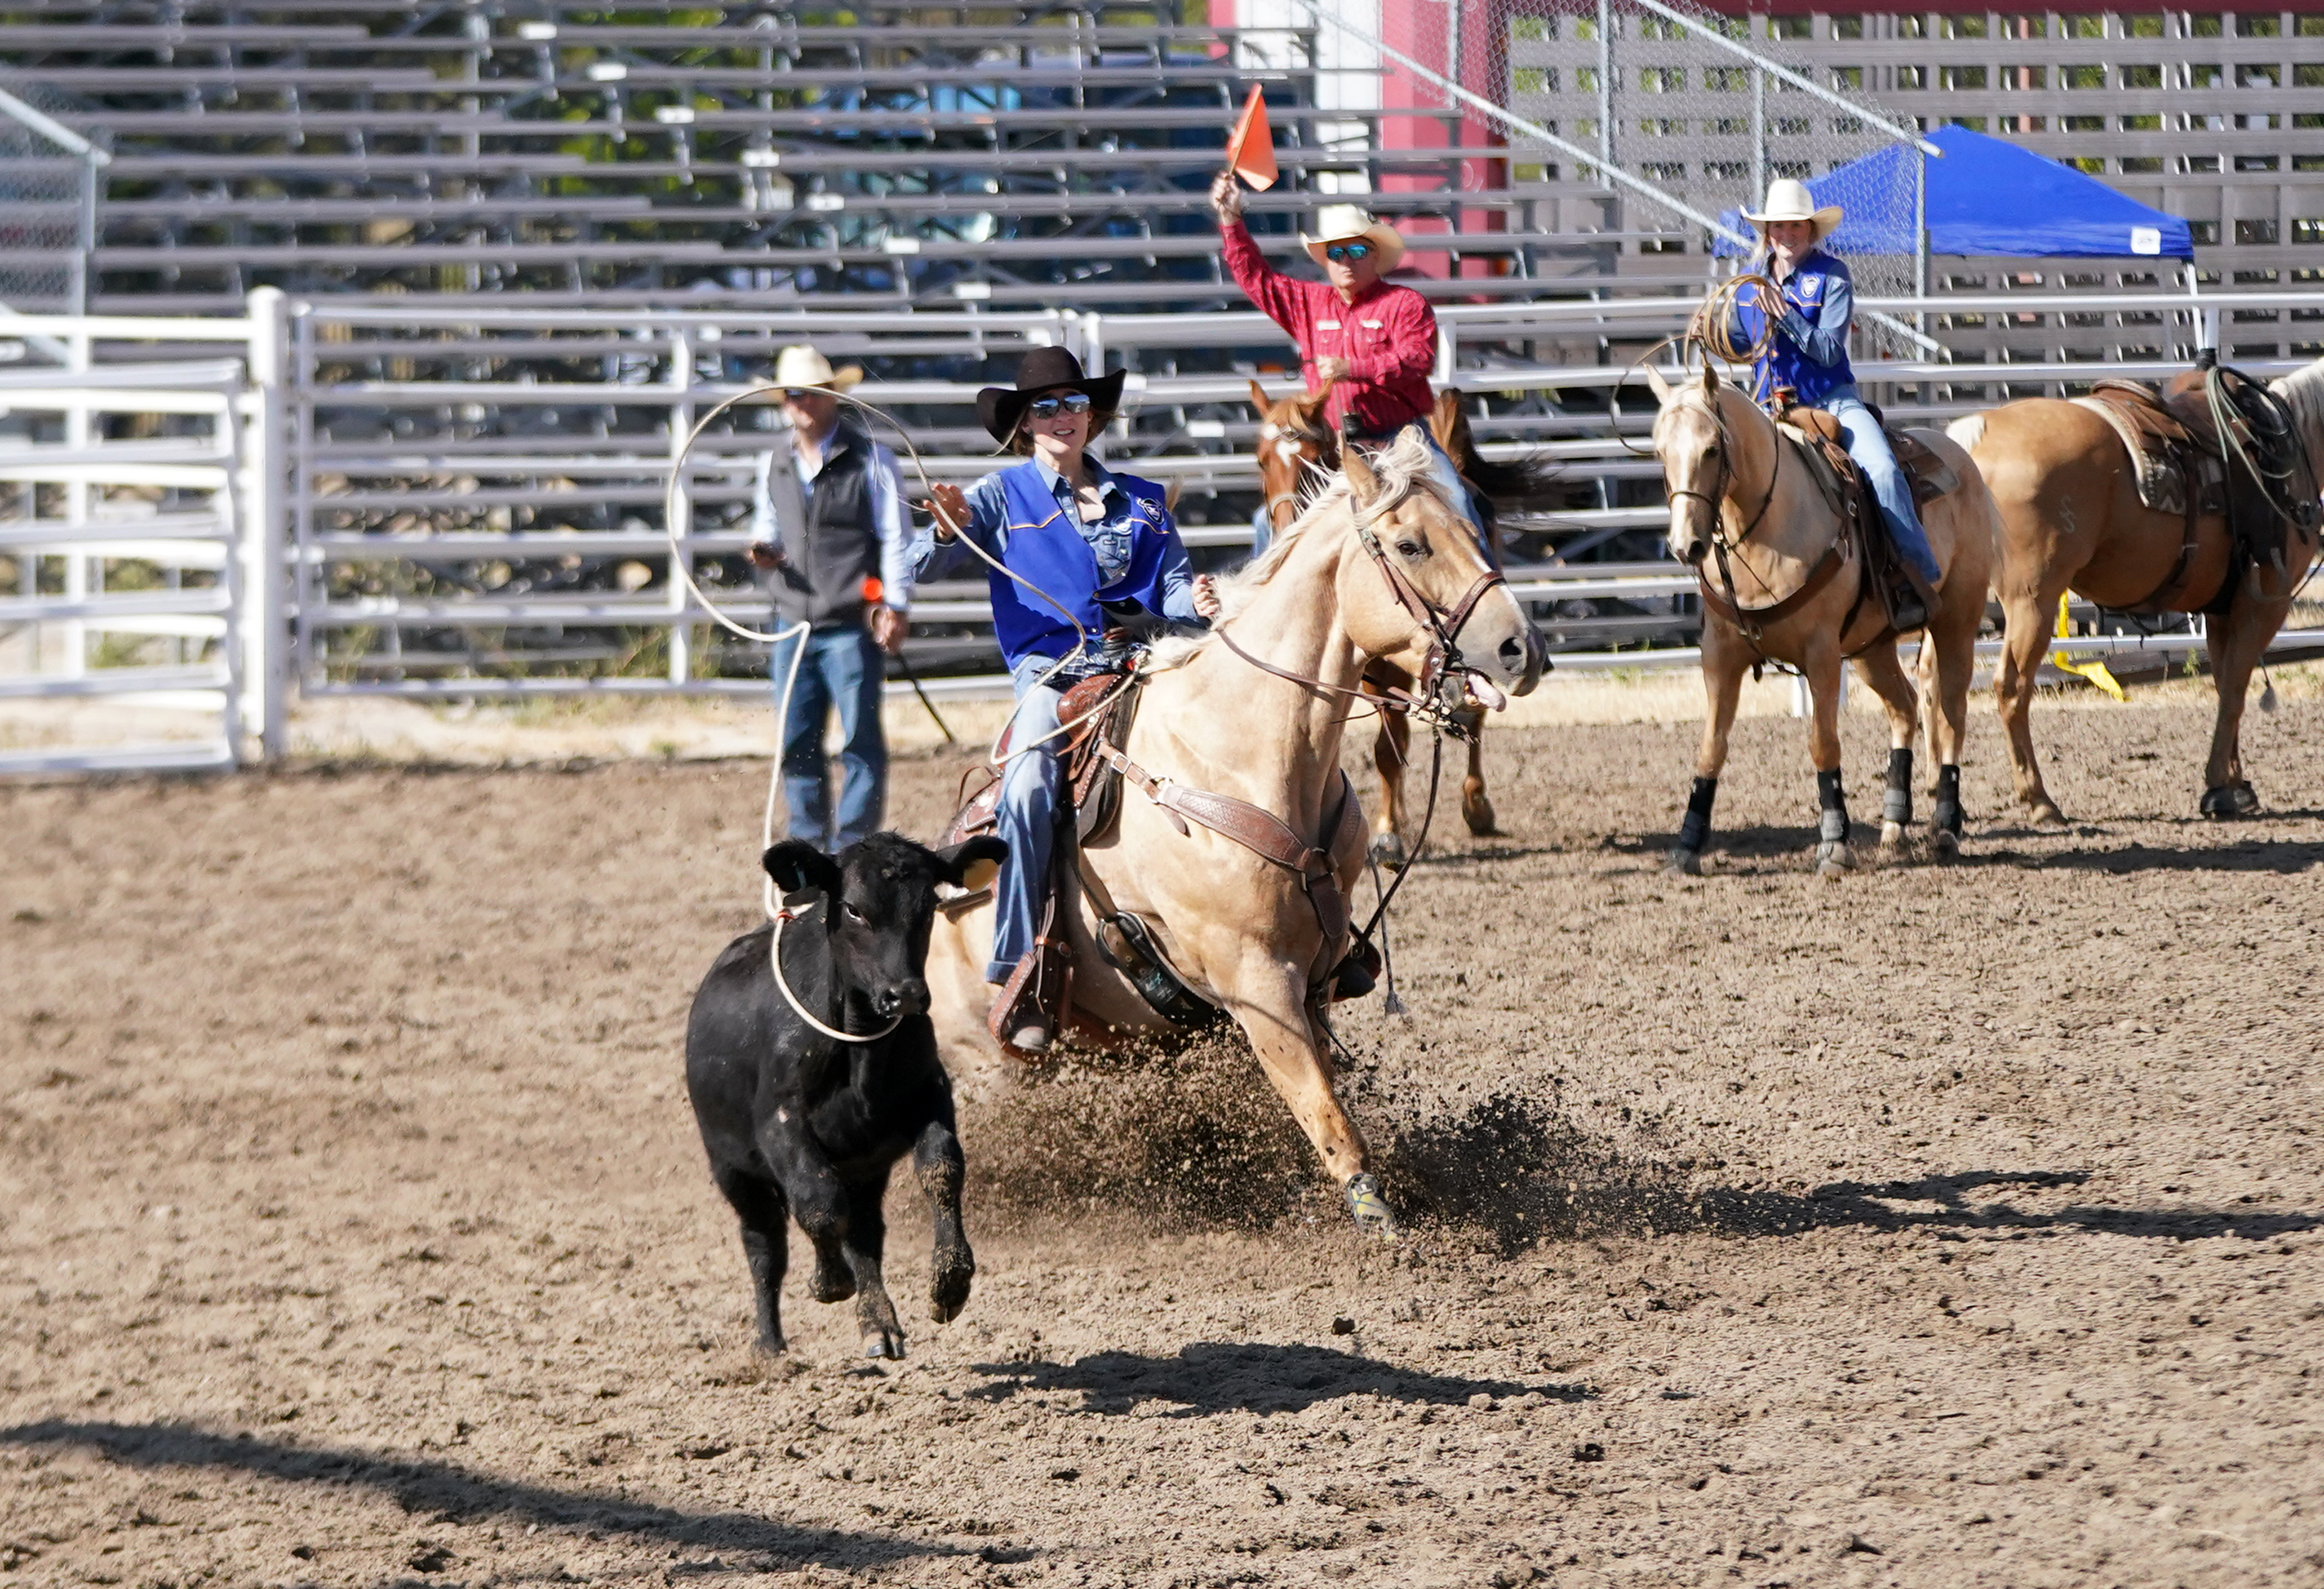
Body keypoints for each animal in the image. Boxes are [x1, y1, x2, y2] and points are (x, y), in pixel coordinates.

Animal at [674, 826, 999, 1357]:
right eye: (852, 908)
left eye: (929, 904)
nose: (905, 994)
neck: (859, 1045)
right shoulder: (779, 1122)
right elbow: (817, 1201)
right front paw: (828, 1282)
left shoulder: (930, 1094)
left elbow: (942, 1169)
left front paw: (951, 1282)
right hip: (733, 1170)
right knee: (764, 1245)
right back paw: (769, 1346)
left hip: (862, 1168)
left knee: (864, 1234)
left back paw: (879, 1324)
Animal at [920, 431, 1543, 1226]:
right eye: (1410, 544)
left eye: (1477, 523)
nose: (1522, 648)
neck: (1237, 752)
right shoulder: (1257, 984)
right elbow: (1323, 1110)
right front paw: (1379, 1215)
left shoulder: (1314, 976)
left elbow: (1319, 1094)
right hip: (988, 1064)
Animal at [1245, 376, 1552, 864]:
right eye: (1261, 460)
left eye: (1315, 460)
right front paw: (1390, 826)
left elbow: (1392, 748)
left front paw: (1389, 833)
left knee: (1475, 718)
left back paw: (1477, 805)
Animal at [1654, 359, 1999, 873]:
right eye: (1660, 452)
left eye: (1712, 449)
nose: (1685, 546)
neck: (1766, 529)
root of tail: (1960, 455)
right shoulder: (1719, 654)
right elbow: (1710, 749)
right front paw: (1687, 846)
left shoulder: (1819, 654)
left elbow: (1823, 744)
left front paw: (1834, 842)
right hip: (1871, 647)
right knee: (1904, 706)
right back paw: (1894, 824)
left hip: (1956, 621)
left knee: (1952, 713)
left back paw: (1946, 826)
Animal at [1942, 362, 2324, 826]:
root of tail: (1978, 438)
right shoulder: (2265, 603)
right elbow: (2235, 688)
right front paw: (2220, 787)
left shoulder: (2221, 610)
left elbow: (2224, 683)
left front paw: (2235, 782)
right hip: (2031, 600)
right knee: (2011, 686)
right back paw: (2039, 801)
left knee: (1935, 682)